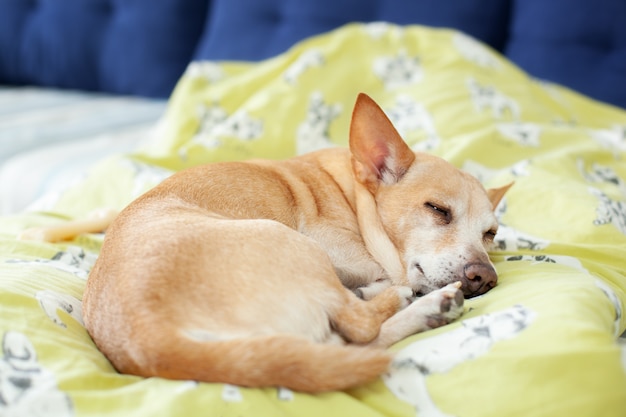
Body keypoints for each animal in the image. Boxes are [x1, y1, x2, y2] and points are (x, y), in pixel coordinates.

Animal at [79, 92, 508, 392]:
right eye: (437, 210)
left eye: (491, 234)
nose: (484, 277)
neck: (353, 195)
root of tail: (152, 340)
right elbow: (382, 285)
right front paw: (386, 288)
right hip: (290, 242)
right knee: (361, 324)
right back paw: (413, 302)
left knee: (347, 348)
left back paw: (429, 310)